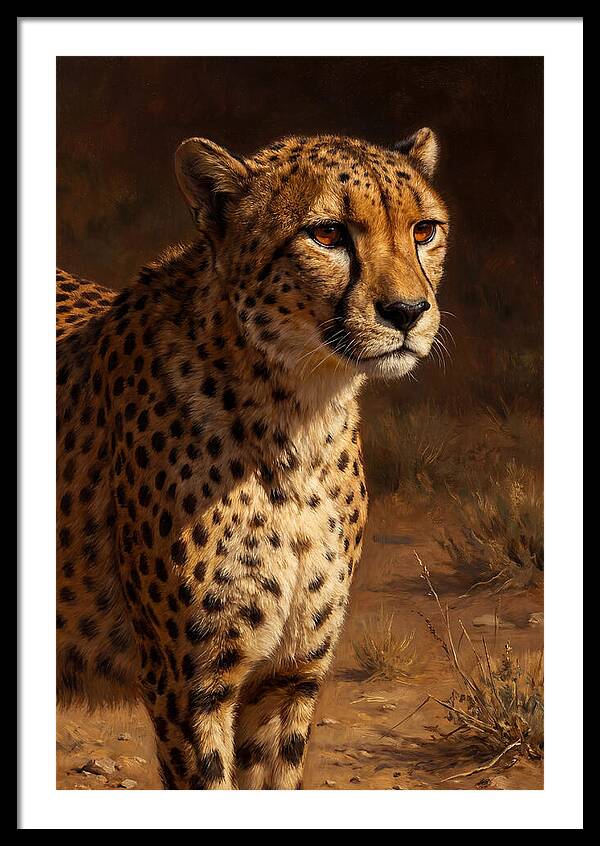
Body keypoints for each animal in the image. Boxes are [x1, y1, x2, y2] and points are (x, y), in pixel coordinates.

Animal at [56, 127, 449, 789]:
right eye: (328, 234)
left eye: (423, 230)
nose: (407, 312)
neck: (299, 422)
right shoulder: (189, 686)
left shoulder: (289, 677)